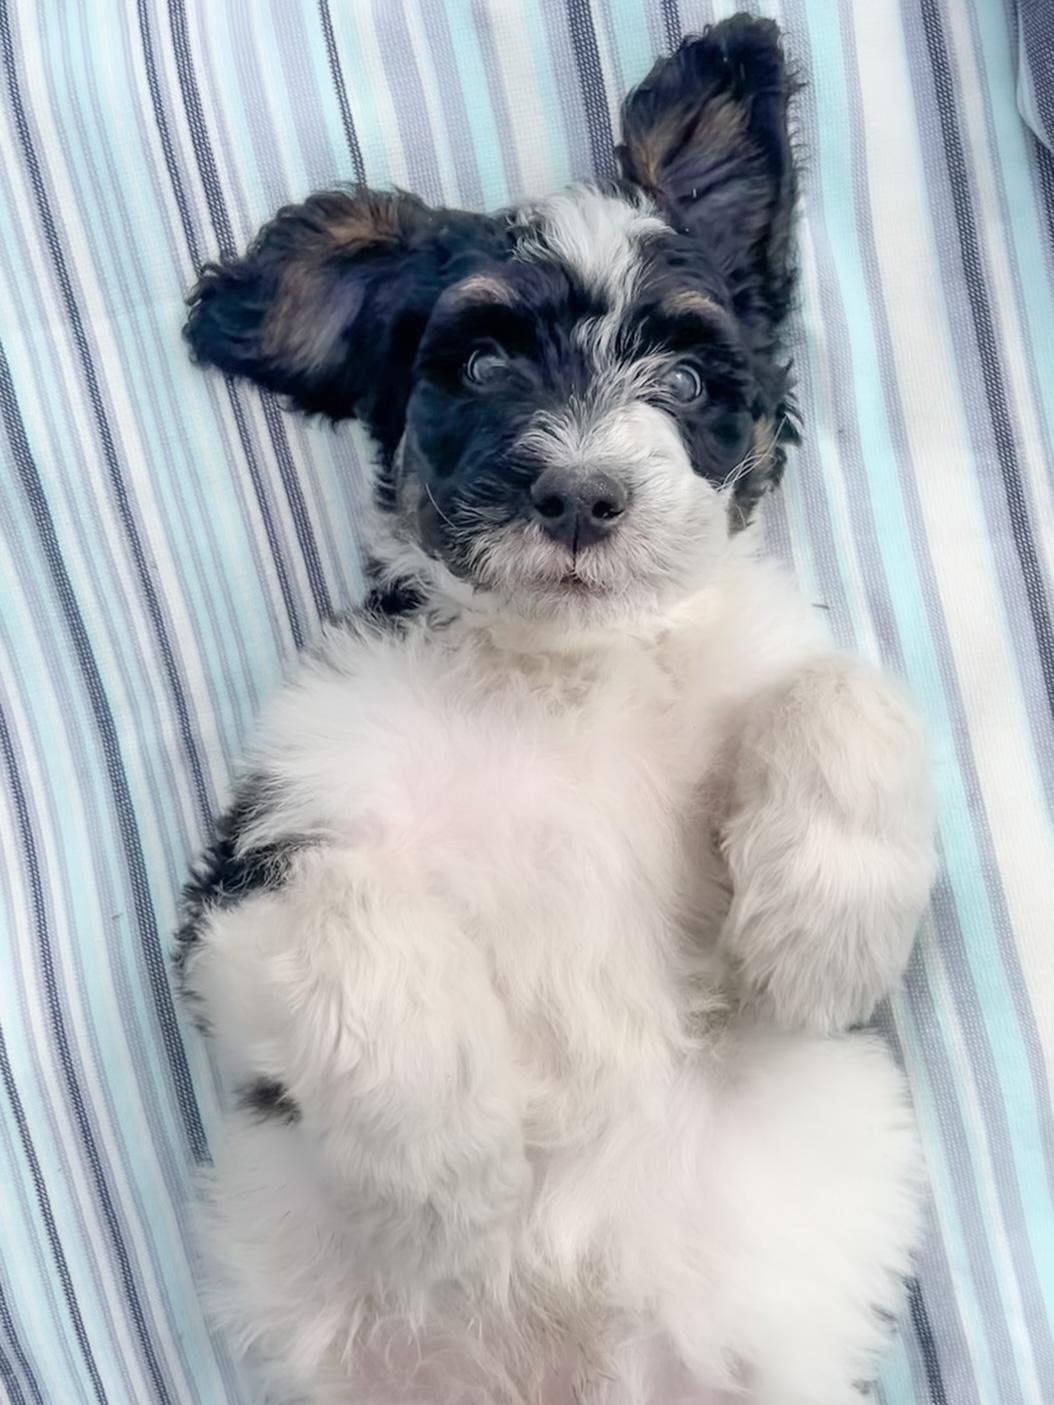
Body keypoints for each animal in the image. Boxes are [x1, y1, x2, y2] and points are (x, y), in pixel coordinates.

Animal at [177, 17, 934, 1404]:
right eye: (478, 362)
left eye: (683, 377)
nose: (580, 495)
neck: (557, 680)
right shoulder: (243, 885)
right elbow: (341, 908)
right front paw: (444, 1162)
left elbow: (841, 686)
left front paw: (820, 930)